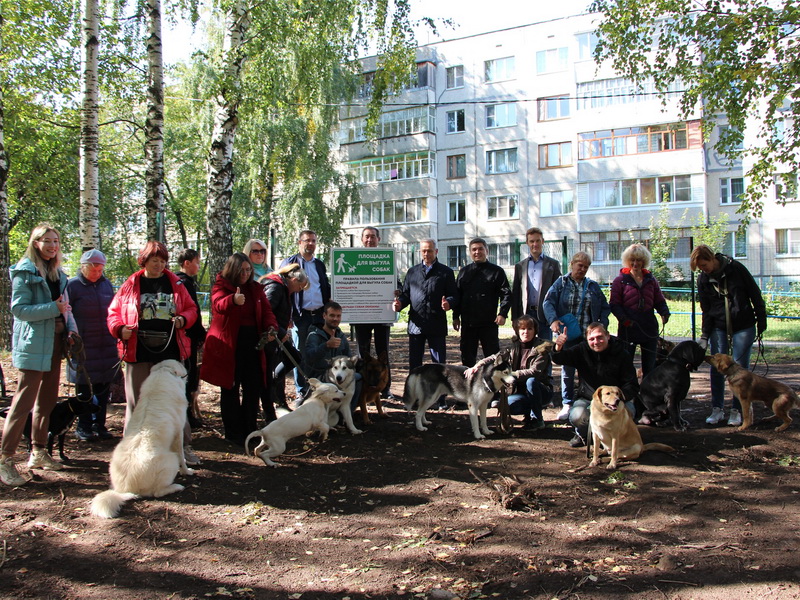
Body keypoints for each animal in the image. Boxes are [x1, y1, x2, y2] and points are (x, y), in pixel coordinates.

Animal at [90, 360, 194, 520]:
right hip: (171, 460)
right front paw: (186, 471)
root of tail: (124, 490)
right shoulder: (179, 432)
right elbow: (182, 456)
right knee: (158, 492)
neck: (163, 372)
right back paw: (176, 487)